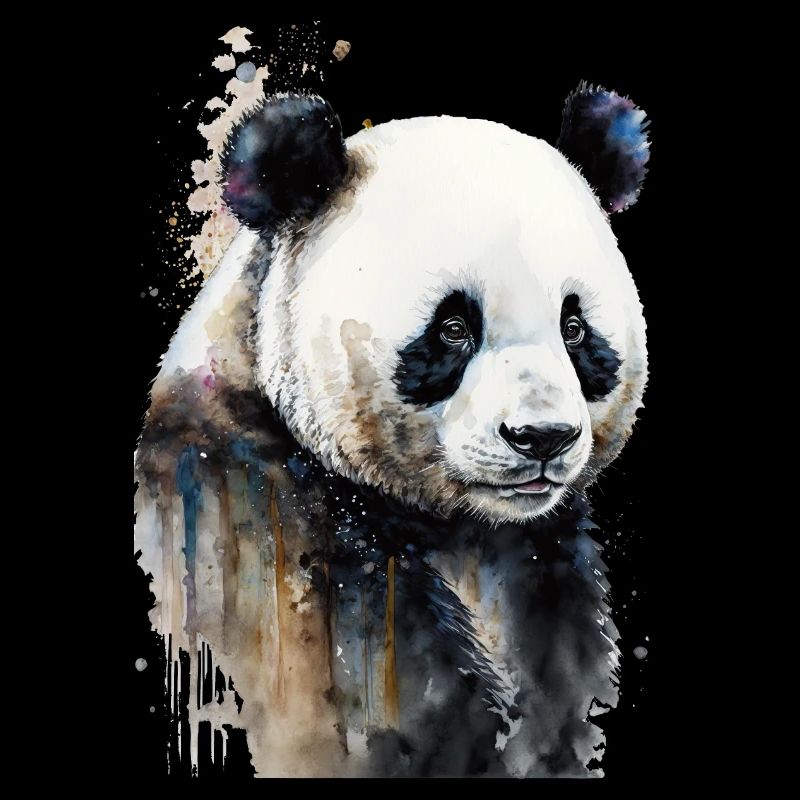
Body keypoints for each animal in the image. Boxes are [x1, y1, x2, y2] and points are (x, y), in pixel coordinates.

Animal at [134, 83, 650, 778]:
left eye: (575, 329)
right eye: (453, 329)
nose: (542, 438)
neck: (462, 532)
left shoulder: (547, 568)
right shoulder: (270, 544)